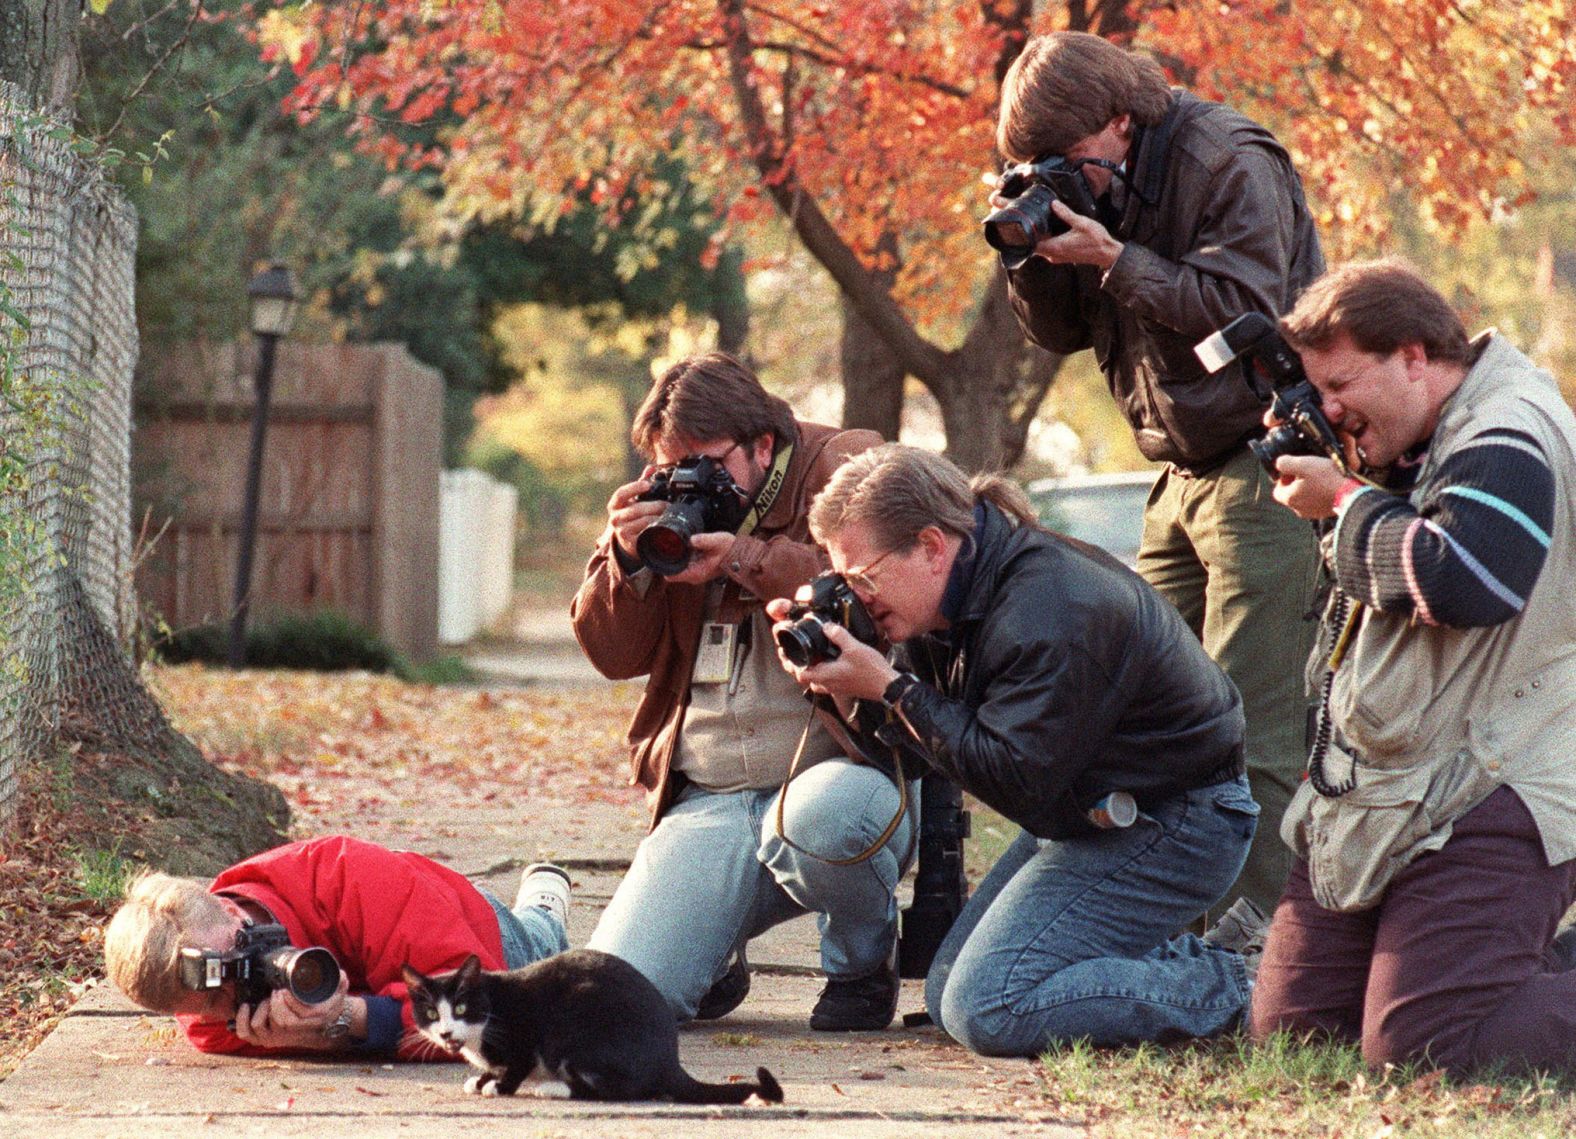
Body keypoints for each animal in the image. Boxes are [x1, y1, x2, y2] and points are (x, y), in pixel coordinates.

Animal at [400, 951, 781, 1102]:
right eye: (432, 1013)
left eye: (461, 1008)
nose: (446, 1033)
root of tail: (670, 1062)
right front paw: (481, 1079)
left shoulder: (524, 1032)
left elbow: (518, 1062)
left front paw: (498, 1085)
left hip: (572, 1028)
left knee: (621, 1090)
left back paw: (554, 1088)